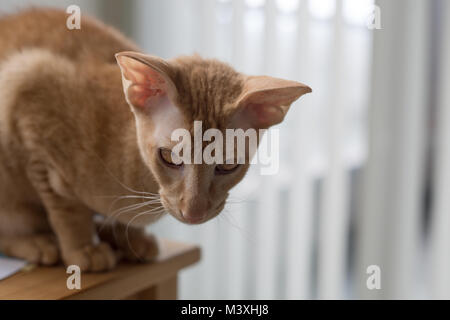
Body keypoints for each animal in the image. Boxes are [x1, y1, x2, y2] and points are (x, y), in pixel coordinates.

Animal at [0, 8, 310, 272]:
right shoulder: (29, 86)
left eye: (227, 166)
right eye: (170, 157)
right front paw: (83, 248)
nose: (193, 212)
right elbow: (65, 205)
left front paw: (129, 236)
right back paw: (39, 242)